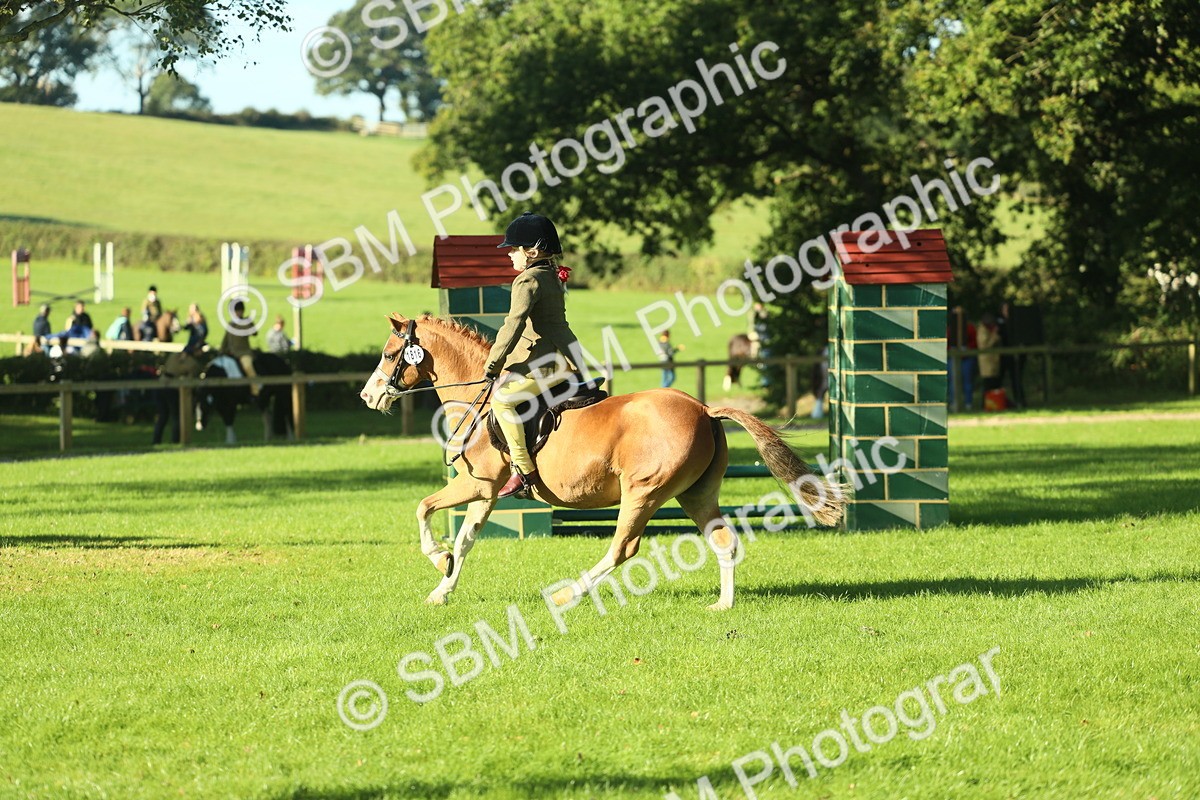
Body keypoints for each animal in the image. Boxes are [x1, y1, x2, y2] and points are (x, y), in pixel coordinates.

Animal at [359, 314, 846, 610]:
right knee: (723, 540)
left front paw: (436, 558)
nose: (368, 396)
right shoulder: (487, 492)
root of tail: (704, 409)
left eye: (389, 354)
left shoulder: (478, 485)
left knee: (623, 548)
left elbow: (422, 508)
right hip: (696, 494)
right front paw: (442, 587)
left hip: (643, 492)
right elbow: (465, 541)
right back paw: (723, 604)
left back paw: (567, 595)